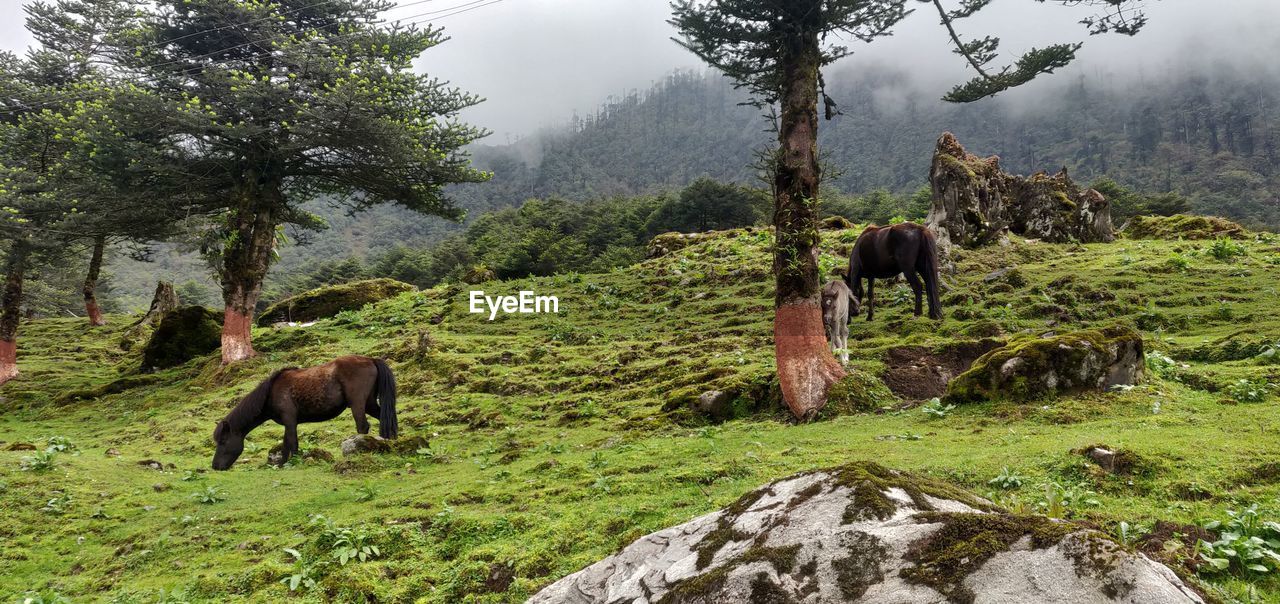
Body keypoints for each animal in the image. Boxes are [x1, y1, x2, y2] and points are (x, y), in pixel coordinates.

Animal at [212, 353, 396, 470]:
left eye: (223, 441)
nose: (215, 466)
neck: (271, 392)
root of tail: (370, 359)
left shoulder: (290, 420)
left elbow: (292, 443)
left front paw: (294, 462)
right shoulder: (288, 422)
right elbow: (286, 444)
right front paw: (282, 464)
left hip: (357, 404)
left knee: (362, 426)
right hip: (370, 404)